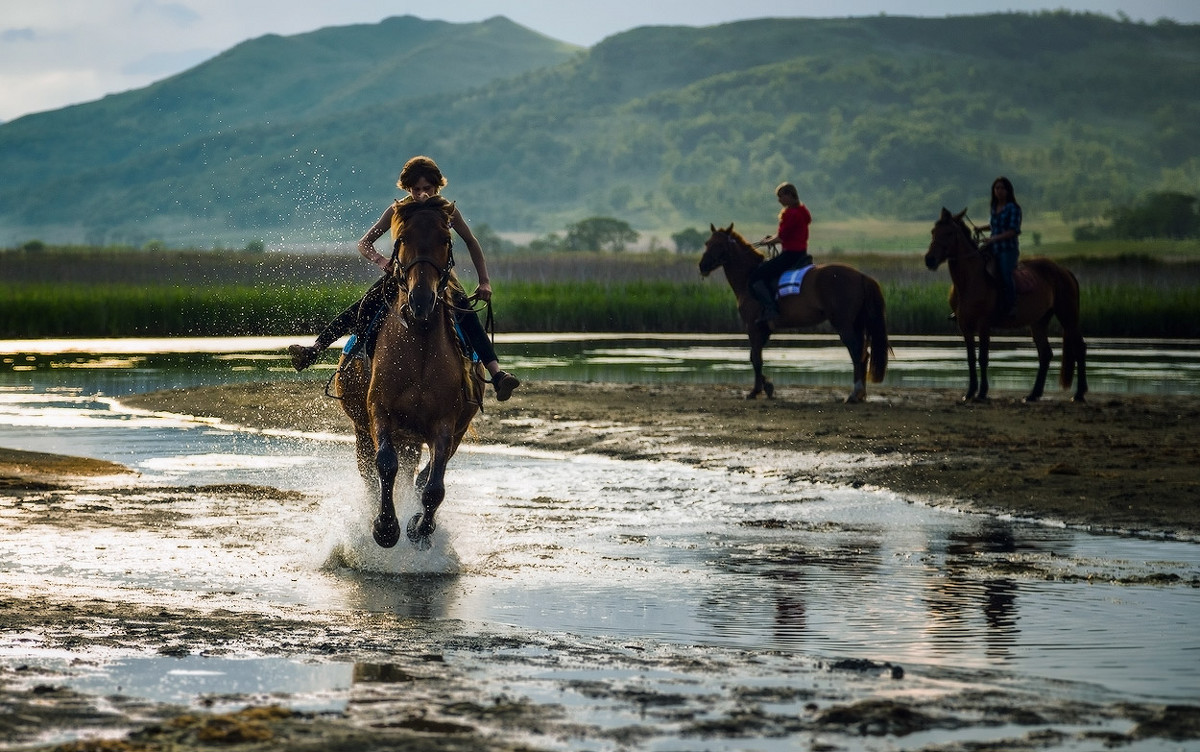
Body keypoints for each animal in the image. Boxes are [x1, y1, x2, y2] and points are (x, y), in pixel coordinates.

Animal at [333, 202, 482, 549]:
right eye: (402, 238)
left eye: (445, 239)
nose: (421, 299)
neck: (420, 345)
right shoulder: (379, 412)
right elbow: (386, 465)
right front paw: (385, 528)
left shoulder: (444, 424)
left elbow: (434, 486)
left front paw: (419, 528)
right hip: (364, 431)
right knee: (370, 475)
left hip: (434, 435)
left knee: (422, 474)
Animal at [700, 221, 888, 402]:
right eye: (707, 243)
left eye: (719, 244)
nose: (702, 266)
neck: (748, 277)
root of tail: (861, 276)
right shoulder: (764, 329)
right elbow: (755, 356)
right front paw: (767, 386)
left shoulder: (753, 327)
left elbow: (755, 358)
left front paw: (756, 391)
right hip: (857, 323)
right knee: (864, 355)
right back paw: (861, 394)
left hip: (844, 323)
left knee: (856, 352)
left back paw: (854, 394)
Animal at [926, 206, 1089, 405]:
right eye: (933, 231)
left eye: (949, 232)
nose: (929, 260)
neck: (970, 280)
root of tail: (1064, 271)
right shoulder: (965, 325)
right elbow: (971, 358)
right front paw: (969, 393)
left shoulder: (983, 324)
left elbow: (983, 357)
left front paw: (982, 393)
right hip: (1039, 321)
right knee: (1045, 354)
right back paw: (1033, 394)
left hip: (1068, 316)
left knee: (1079, 348)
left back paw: (1079, 394)